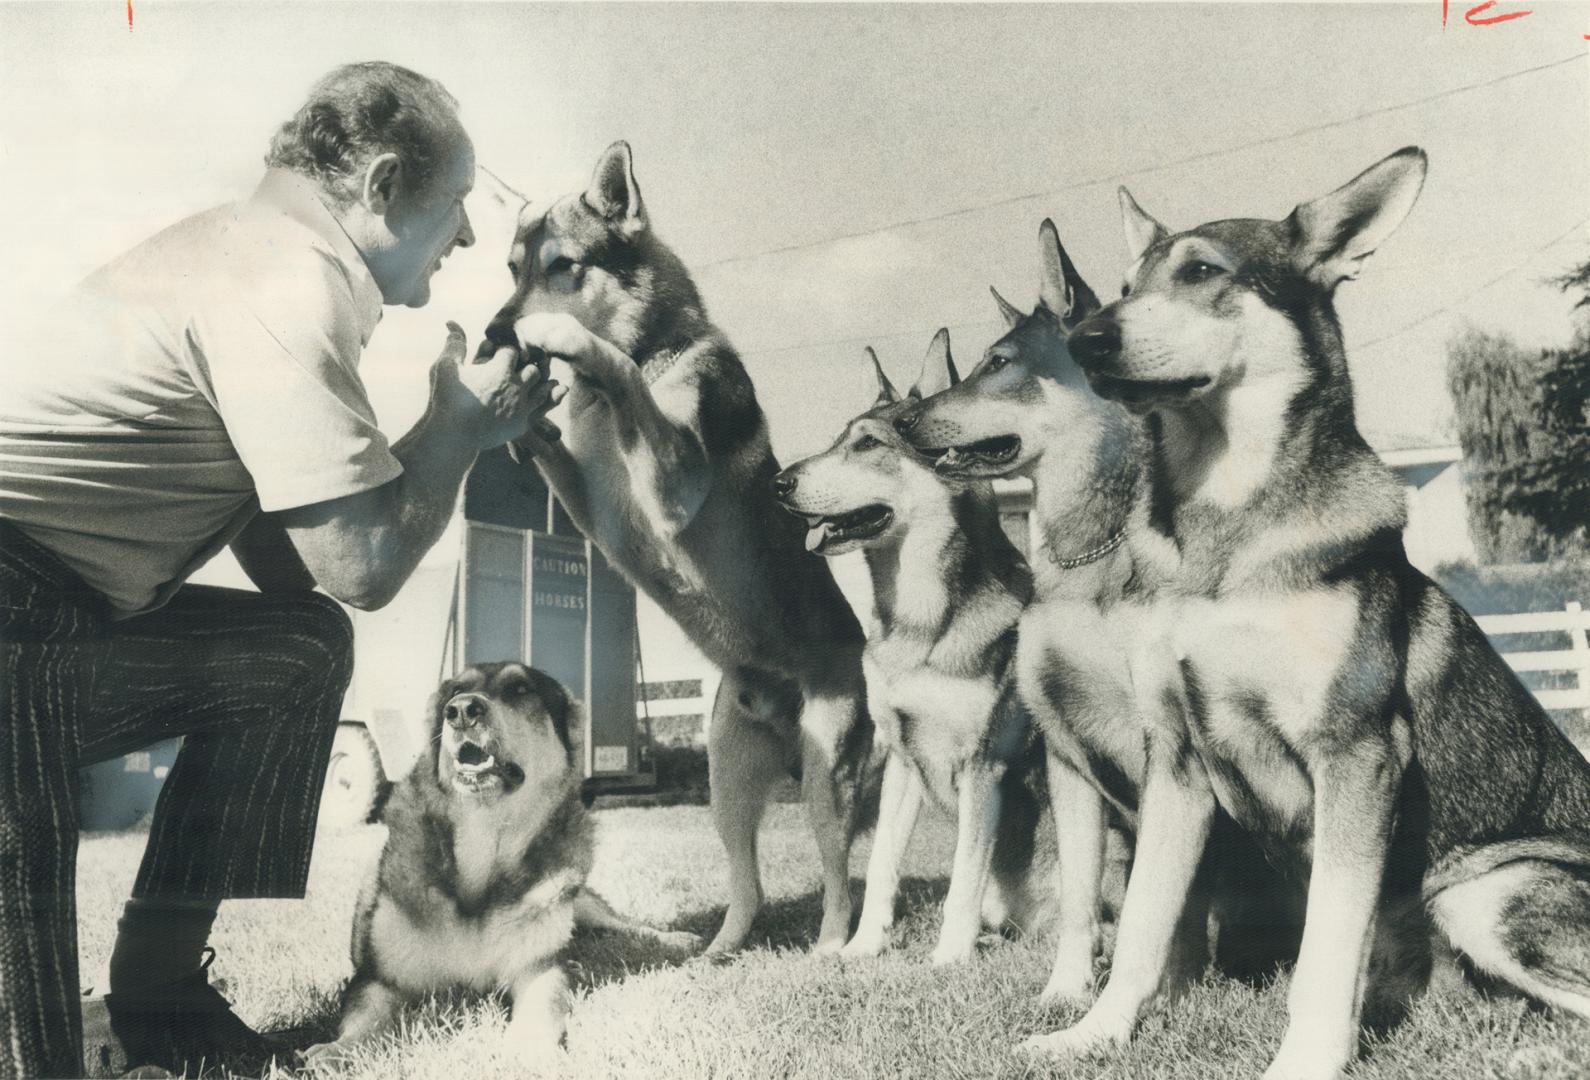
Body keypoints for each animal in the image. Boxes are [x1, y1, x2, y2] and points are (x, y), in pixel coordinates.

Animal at [302, 664, 696, 1068]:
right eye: (454, 692)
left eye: (520, 689)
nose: (461, 711)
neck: (483, 838)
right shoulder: (378, 978)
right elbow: (366, 1017)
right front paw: (337, 1050)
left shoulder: (536, 968)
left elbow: (544, 1000)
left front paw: (528, 1045)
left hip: (581, 904)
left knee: (621, 924)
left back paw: (676, 938)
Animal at [480, 143, 871, 954]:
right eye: (511, 270)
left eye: (562, 266)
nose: (496, 331)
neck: (658, 350)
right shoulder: (595, 513)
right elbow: (561, 446)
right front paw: (523, 414)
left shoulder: (673, 487)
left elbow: (620, 370)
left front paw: (569, 347)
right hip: (727, 785)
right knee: (749, 890)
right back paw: (717, 952)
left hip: (827, 786)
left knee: (839, 882)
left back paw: (831, 948)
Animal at [766, 329, 1043, 960]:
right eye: (836, 438)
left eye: (868, 444)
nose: (779, 484)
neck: (921, 623)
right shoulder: (900, 760)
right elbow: (883, 866)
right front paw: (863, 948)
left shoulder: (984, 766)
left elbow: (963, 877)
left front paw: (948, 958)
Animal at [903, 224, 1297, 1011]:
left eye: (998, 364)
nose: (901, 420)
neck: (1089, 558)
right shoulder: (1065, 752)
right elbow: (1082, 898)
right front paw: (1066, 993)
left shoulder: (1166, 749)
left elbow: (1165, 900)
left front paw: (1151, 993)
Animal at [1055, 147, 1590, 1075]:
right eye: (1124, 285)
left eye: (1202, 273)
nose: (1083, 339)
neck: (1225, 524)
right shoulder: (1177, 765)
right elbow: (1144, 928)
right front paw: (1092, 1035)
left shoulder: (1356, 755)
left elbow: (1327, 950)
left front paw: (1303, 1061)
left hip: (1491, 891)